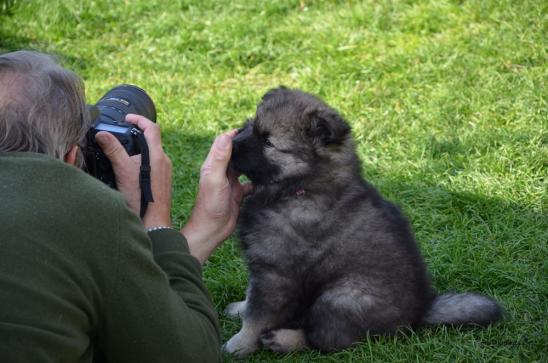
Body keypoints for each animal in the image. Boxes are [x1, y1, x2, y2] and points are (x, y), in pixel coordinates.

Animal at [223, 86, 500, 356]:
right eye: (250, 125)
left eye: (268, 141)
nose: (230, 144)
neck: (300, 188)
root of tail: (419, 314)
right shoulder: (263, 269)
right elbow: (251, 296)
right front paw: (239, 308)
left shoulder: (275, 274)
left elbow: (257, 317)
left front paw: (238, 344)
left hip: (340, 297)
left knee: (326, 339)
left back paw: (284, 340)